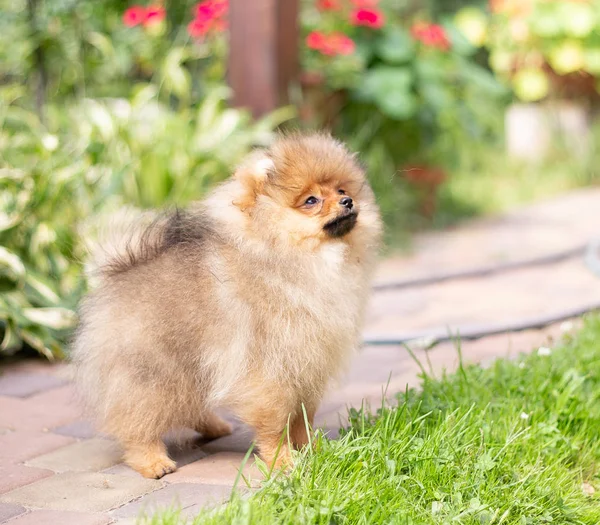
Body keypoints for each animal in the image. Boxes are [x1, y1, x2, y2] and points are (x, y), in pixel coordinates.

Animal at [72, 133, 382, 476]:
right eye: (311, 201)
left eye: (341, 190)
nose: (348, 201)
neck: (291, 261)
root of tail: (118, 270)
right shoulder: (270, 370)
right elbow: (276, 423)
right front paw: (282, 460)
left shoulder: (307, 366)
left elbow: (302, 418)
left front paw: (312, 449)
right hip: (152, 371)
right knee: (137, 418)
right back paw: (152, 460)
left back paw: (213, 427)